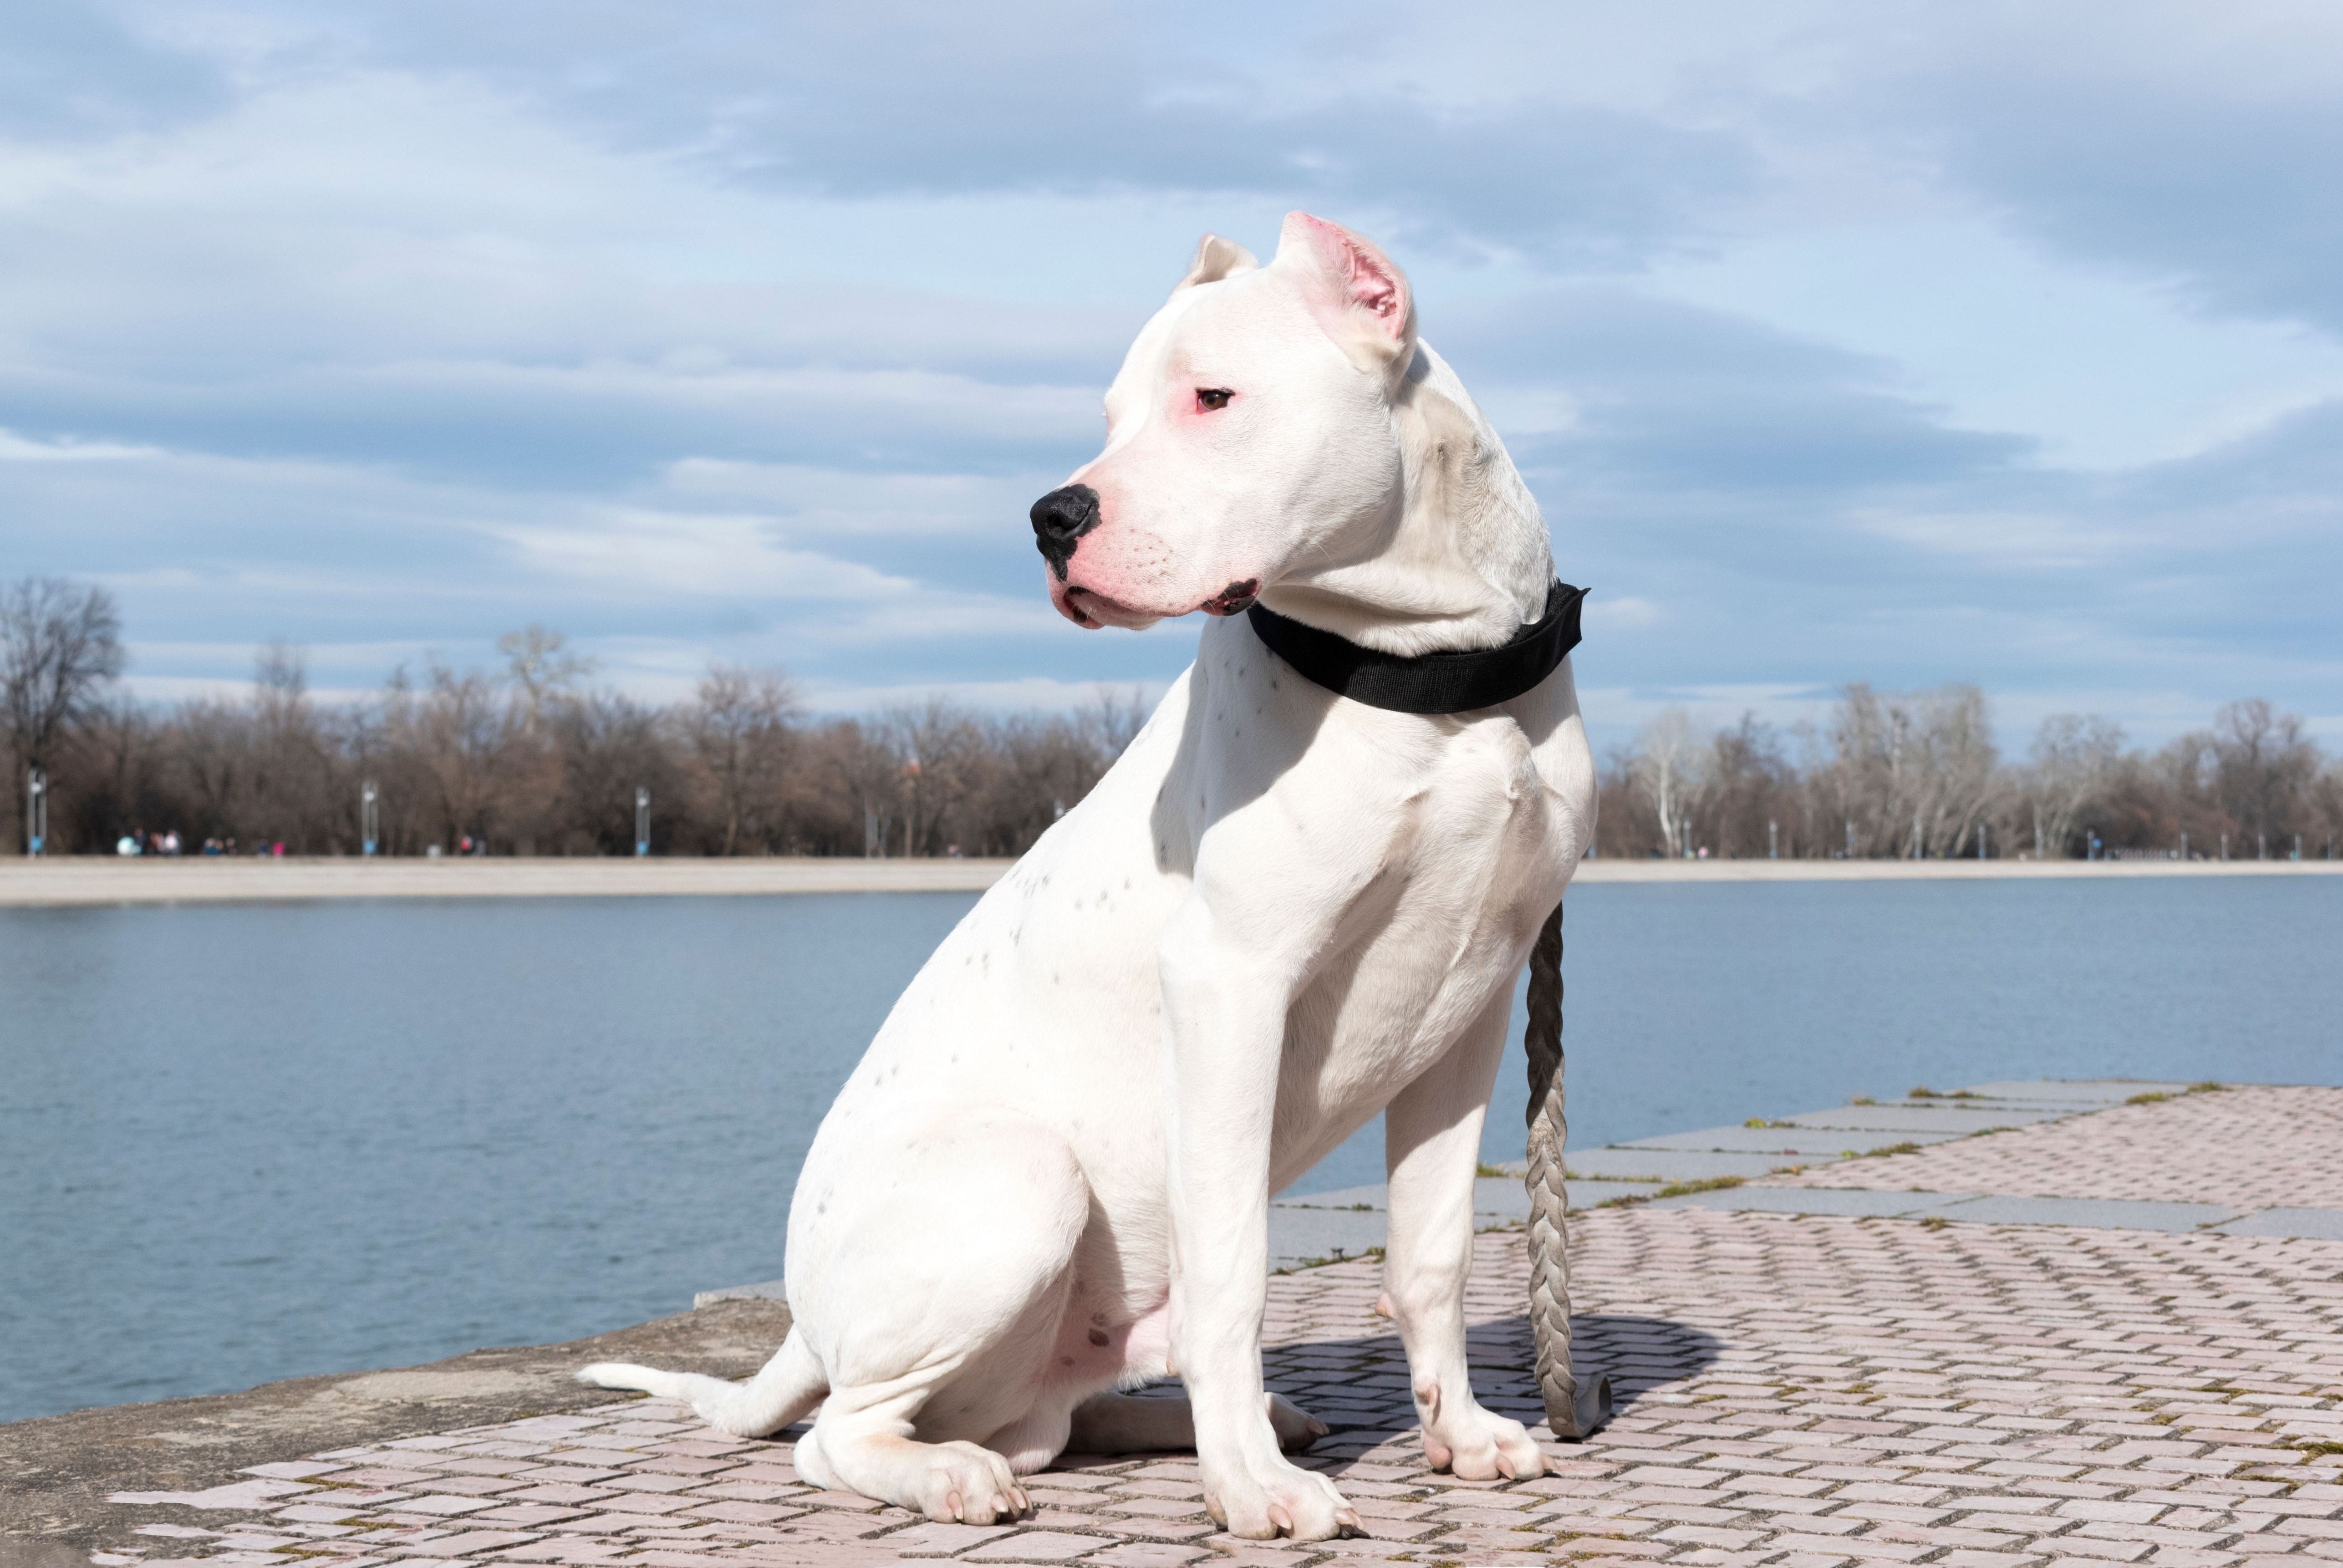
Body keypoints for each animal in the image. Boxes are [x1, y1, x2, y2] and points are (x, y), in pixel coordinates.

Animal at [586, 207, 1602, 1537]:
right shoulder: (1231, 986)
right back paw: (973, 1473)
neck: (1429, 677)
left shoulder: (1473, 1004)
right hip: (1024, 1182)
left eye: (1212, 396)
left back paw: (1197, 1423)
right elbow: (1235, 1271)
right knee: (841, 1434)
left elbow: (1429, 1248)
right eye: (1113, 413)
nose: (1052, 515)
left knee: (1047, 1420)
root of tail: (803, 1325)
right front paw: (1253, 1491)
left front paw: (1466, 1433)